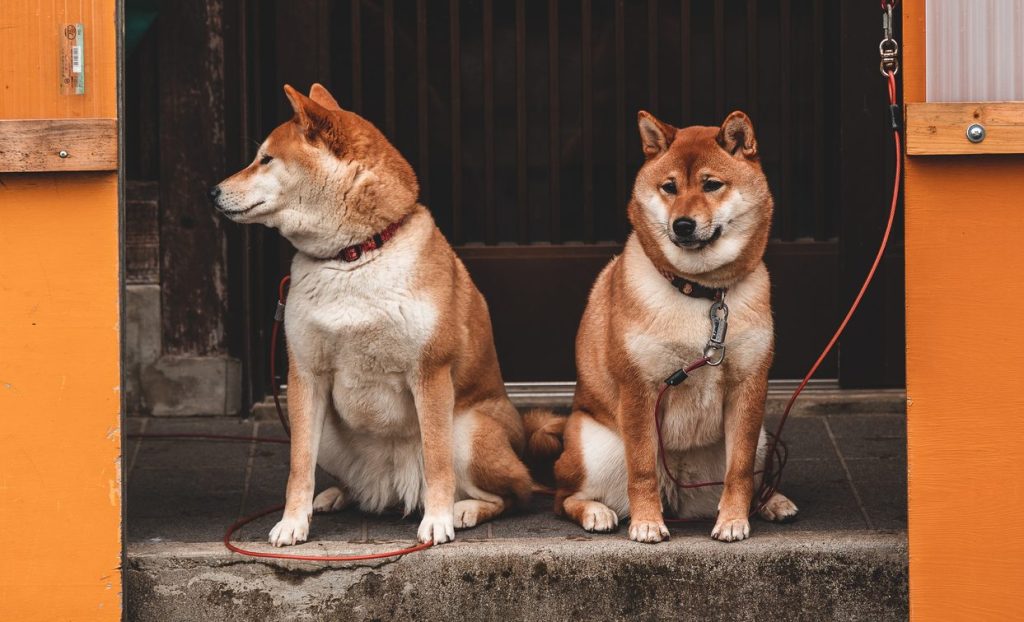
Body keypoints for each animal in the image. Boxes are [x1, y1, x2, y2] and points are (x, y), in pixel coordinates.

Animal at [210, 85, 557, 549]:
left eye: (265, 159)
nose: (213, 191)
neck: (354, 254)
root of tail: (393, 489)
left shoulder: (430, 371)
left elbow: (437, 460)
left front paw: (438, 520)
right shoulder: (305, 374)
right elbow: (299, 465)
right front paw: (293, 521)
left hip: (467, 430)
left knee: (514, 493)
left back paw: (463, 510)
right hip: (331, 433)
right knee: (351, 481)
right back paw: (337, 495)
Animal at [552, 109, 798, 541]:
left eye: (711, 185)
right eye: (669, 187)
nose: (683, 224)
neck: (701, 292)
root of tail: (678, 492)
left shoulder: (749, 386)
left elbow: (739, 472)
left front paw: (733, 520)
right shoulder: (639, 388)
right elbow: (642, 470)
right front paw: (647, 523)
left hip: (763, 440)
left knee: (750, 477)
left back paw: (772, 501)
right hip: (594, 445)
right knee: (564, 496)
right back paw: (596, 512)